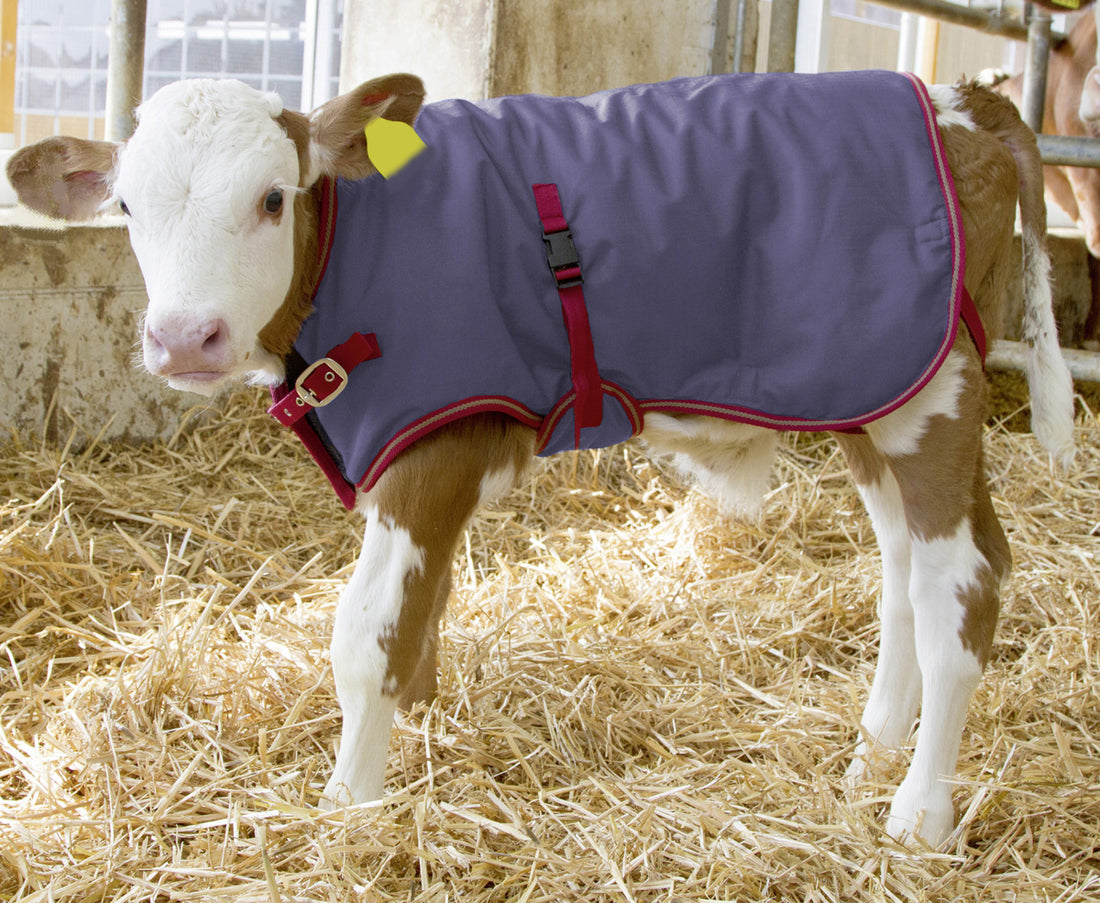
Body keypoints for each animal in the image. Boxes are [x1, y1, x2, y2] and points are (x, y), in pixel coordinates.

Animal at [5, 71, 1075, 848]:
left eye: (271, 198)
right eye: (127, 208)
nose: (184, 337)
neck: (356, 243)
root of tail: (967, 99)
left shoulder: (432, 445)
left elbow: (367, 637)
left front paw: (349, 807)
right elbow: (421, 619)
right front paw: (418, 744)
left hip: (934, 401)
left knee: (965, 582)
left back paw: (918, 813)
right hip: (877, 396)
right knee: (904, 576)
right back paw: (866, 761)